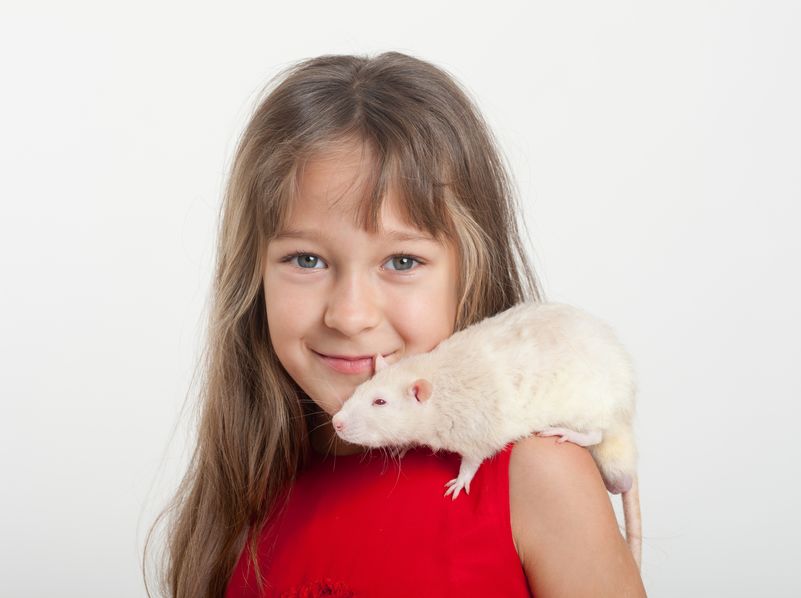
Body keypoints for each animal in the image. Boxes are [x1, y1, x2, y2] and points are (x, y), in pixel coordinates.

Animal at [331, 301, 642, 569]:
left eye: (379, 402)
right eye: (359, 391)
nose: (336, 422)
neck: (434, 378)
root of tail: (626, 406)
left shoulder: (474, 425)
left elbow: (474, 456)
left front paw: (461, 480)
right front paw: (403, 446)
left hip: (590, 405)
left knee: (596, 433)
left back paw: (569, 432)